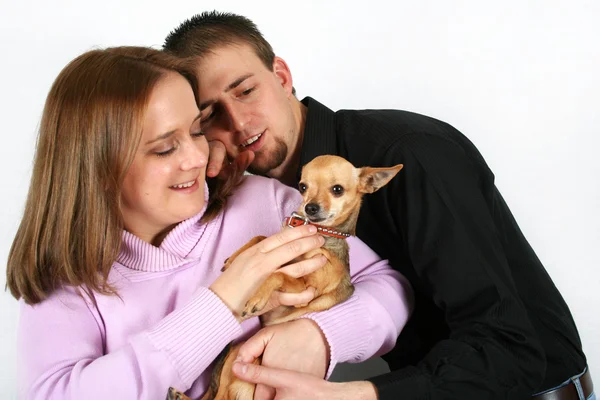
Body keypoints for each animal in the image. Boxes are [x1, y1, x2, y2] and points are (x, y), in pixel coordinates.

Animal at [168, 155, 404, 398]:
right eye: (303, 187)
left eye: (337, 189)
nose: (310, 207)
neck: (317, 233)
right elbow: (260, 238)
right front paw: (235, 258)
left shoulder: (306, 290)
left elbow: (277, 273)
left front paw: (257, 297)